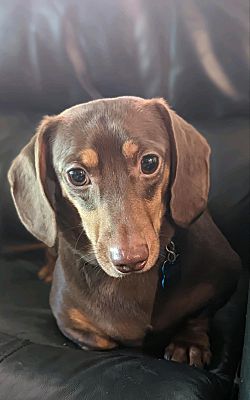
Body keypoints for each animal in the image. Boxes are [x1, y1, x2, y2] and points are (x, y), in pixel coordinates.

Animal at [7, 96, 240, 366]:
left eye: (149, 162)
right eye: (76, 175)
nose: (130, 261)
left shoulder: (224, 279)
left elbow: (199, 315)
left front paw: (189, 342)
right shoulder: (67, 320)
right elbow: (102, 340)